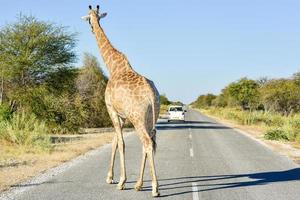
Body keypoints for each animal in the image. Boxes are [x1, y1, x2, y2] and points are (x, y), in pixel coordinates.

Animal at [82, 4, 161, 197]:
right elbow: (114, 142)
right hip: (150, 117)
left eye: (89, 19)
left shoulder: (111, 108)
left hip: (138, 118)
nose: (92, 28)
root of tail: (151, 94)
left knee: (147, 143)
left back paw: (154, 188)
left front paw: (121, 181)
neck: (113, 67)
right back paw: (139, 184)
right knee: (147, 143)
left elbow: (121, 143)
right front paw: (110, 177)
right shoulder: (123, 115)